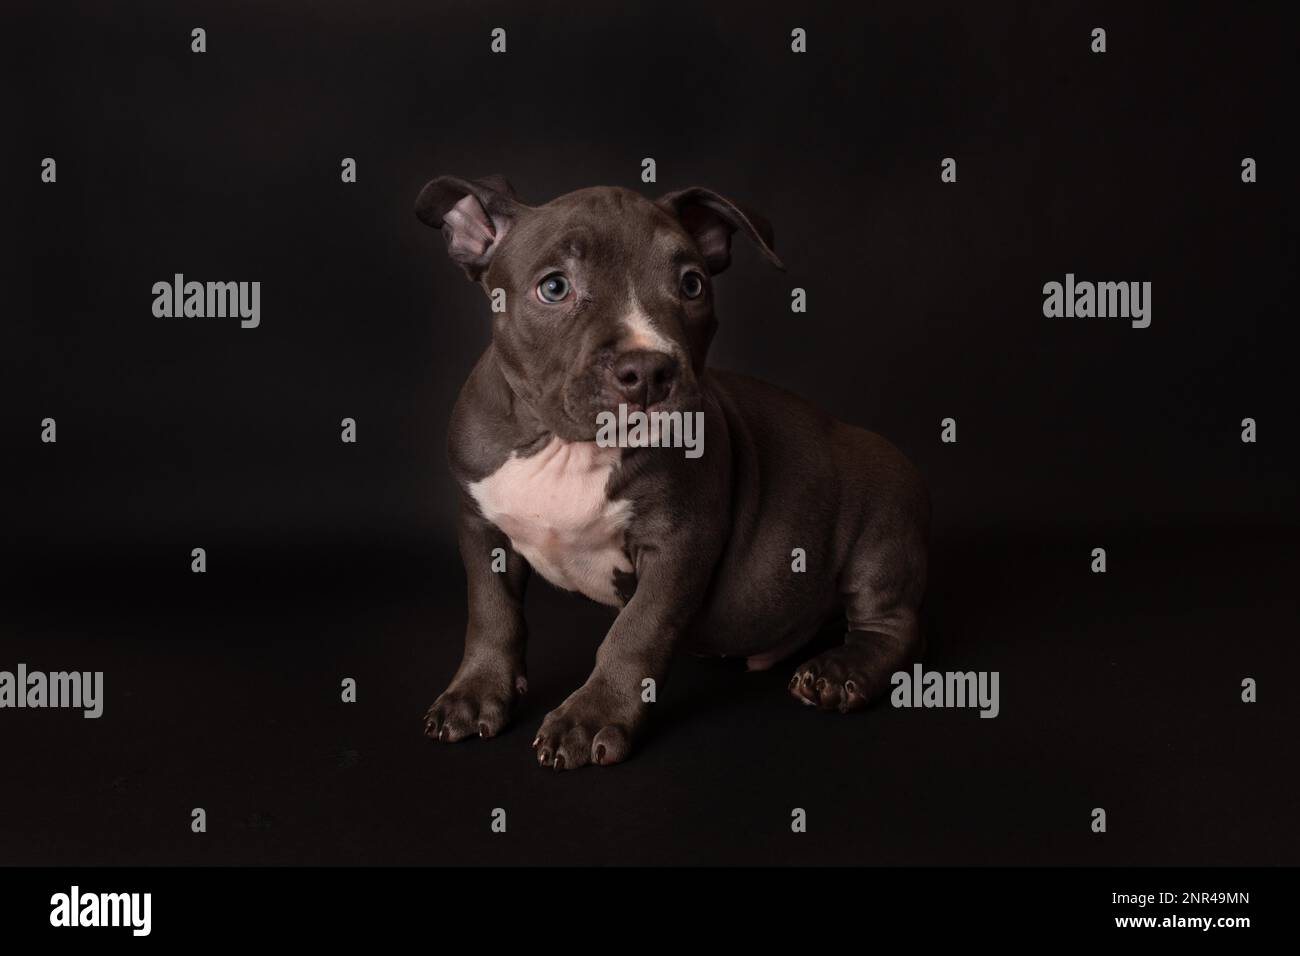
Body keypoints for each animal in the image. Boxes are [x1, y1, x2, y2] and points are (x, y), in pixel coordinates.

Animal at [413, 174, 925, 770]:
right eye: (554, 288)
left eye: (692, 284)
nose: (648, 370)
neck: (568, 446)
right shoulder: (480, 524)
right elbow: (491, 613)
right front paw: (475, 694)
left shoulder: (680, 542)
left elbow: (637, 632)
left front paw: (591, 717)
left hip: (882, 527)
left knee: (891, 624)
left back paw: (841, 672)